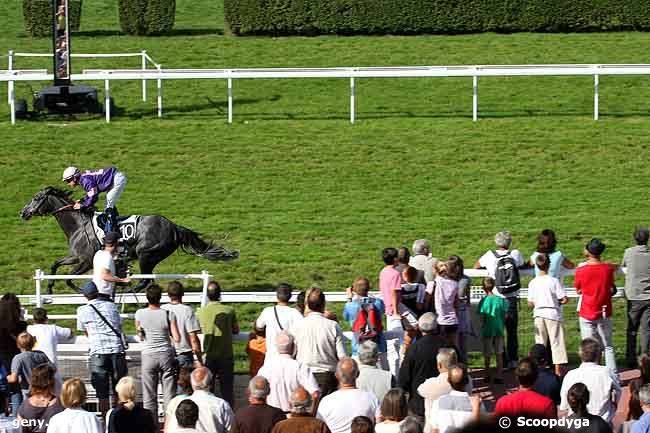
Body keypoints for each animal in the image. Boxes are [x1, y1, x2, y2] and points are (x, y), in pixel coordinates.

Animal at [19, 186, 238, 292]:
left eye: (37, 198)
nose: (23, 212)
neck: (78, 224)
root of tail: (174, 226)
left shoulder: (86, 261)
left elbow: (69, 279)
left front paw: (83, 289)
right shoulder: (75, 256)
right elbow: (55, 265)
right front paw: (48, 288)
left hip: (146, 254)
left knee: (145, 280)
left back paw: (128, 288)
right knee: (147, 280)